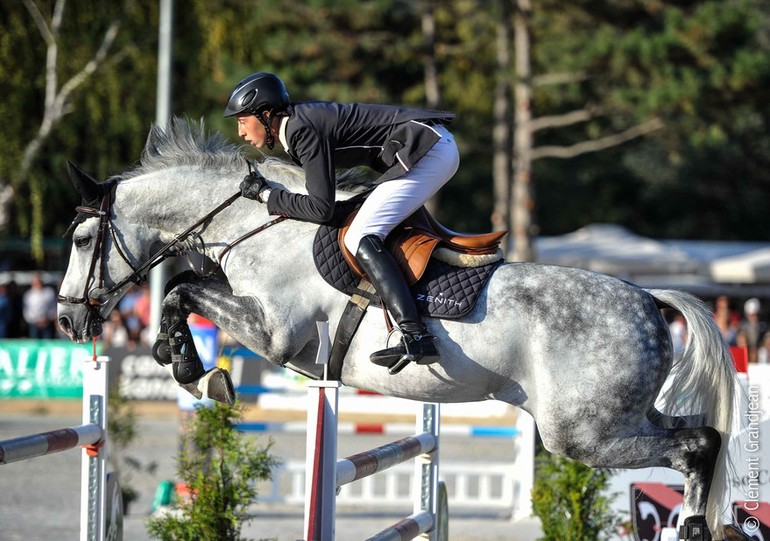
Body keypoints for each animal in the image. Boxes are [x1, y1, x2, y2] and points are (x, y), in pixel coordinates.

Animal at [55, 118, 736, 536]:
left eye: (83, 239)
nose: (65, 318)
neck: (258, 227)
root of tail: (648, 299)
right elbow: (183, 294)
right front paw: (186, 365)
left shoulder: (273, 332)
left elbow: (182, 291)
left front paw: (196, 372)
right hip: (623, 417)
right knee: (697, 438)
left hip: (582, 434)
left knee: (696, 444)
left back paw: (694, 527)